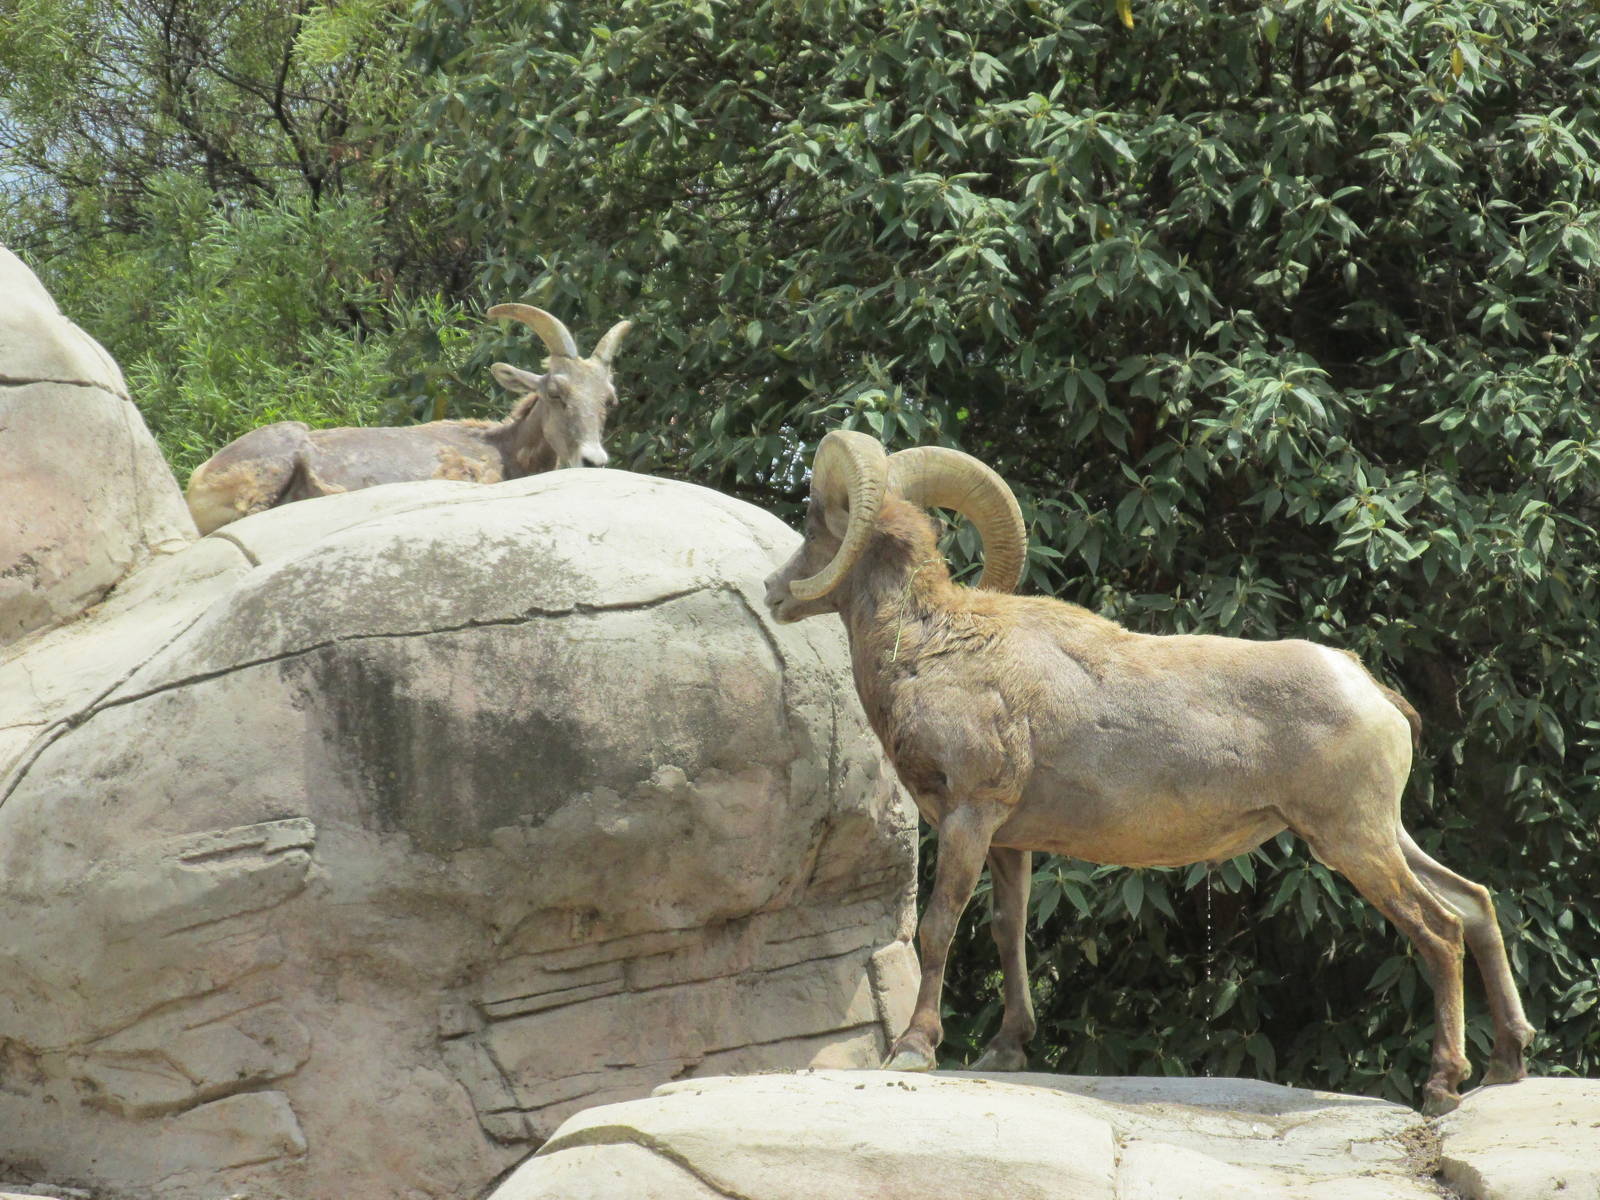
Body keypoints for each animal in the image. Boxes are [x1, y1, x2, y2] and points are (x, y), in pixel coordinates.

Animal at [762, 429, 1534, 1115]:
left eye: (817, 521)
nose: (773, 589)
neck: (929, 648)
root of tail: (1372, 692)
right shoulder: (1008, 841)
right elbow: (1010, 935)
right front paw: (1005, 1050)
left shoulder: (968, 817)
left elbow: (939, 927)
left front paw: (916, 1050)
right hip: (1378, 832)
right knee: (1476, 904)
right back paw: (1508, 1064)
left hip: (1351, 841)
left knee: (1439, 929)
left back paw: (1444, 1086)